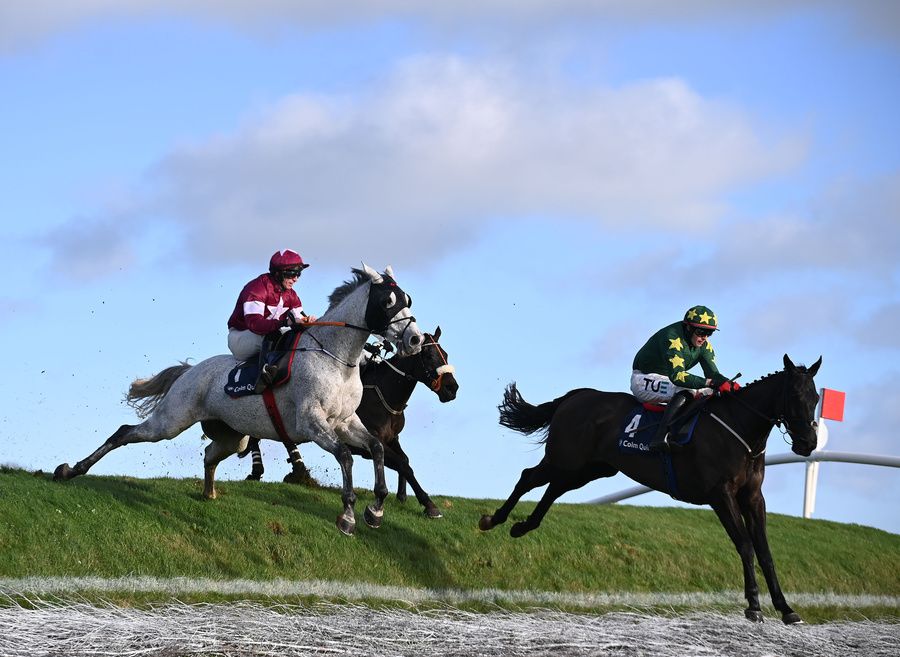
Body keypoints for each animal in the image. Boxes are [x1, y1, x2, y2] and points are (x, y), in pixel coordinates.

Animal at [54, 262, 424, 532]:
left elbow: (377, 448)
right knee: (124, 433)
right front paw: (347, 515)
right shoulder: (313, 423)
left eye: (408, 300)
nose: (415, 340)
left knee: (208, 454)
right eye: (388, 302)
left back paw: (209, 492)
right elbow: (346, 457)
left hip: (234, 436)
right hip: (172, 420)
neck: (337, 360)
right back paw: (70, 470)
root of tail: (191, 370)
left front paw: (376, 509)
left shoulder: (346, 422)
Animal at [482, 356, 828, 624]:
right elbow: (745, 545)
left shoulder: (753, 497)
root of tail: (576, 397)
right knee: (529, 478)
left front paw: (786, 609)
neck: (740, 428)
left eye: (815, 400)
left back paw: (523, 526)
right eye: (795, 398)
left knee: (554, 489)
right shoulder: (720, 495)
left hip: (590, 468)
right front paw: (754, 605)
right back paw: (493, 519)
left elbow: (765, 552)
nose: (807, 444)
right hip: (564, 458)